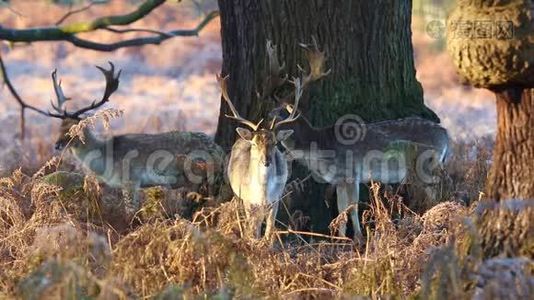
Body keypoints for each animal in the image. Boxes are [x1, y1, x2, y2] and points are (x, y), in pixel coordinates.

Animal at [26, 62, 226, 216]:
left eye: (76, 129)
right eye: (60, 126)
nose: (57, 145)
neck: (106, 160)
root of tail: (219, 151)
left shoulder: (130, 179)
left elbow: (130, 213)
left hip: (195, 174)